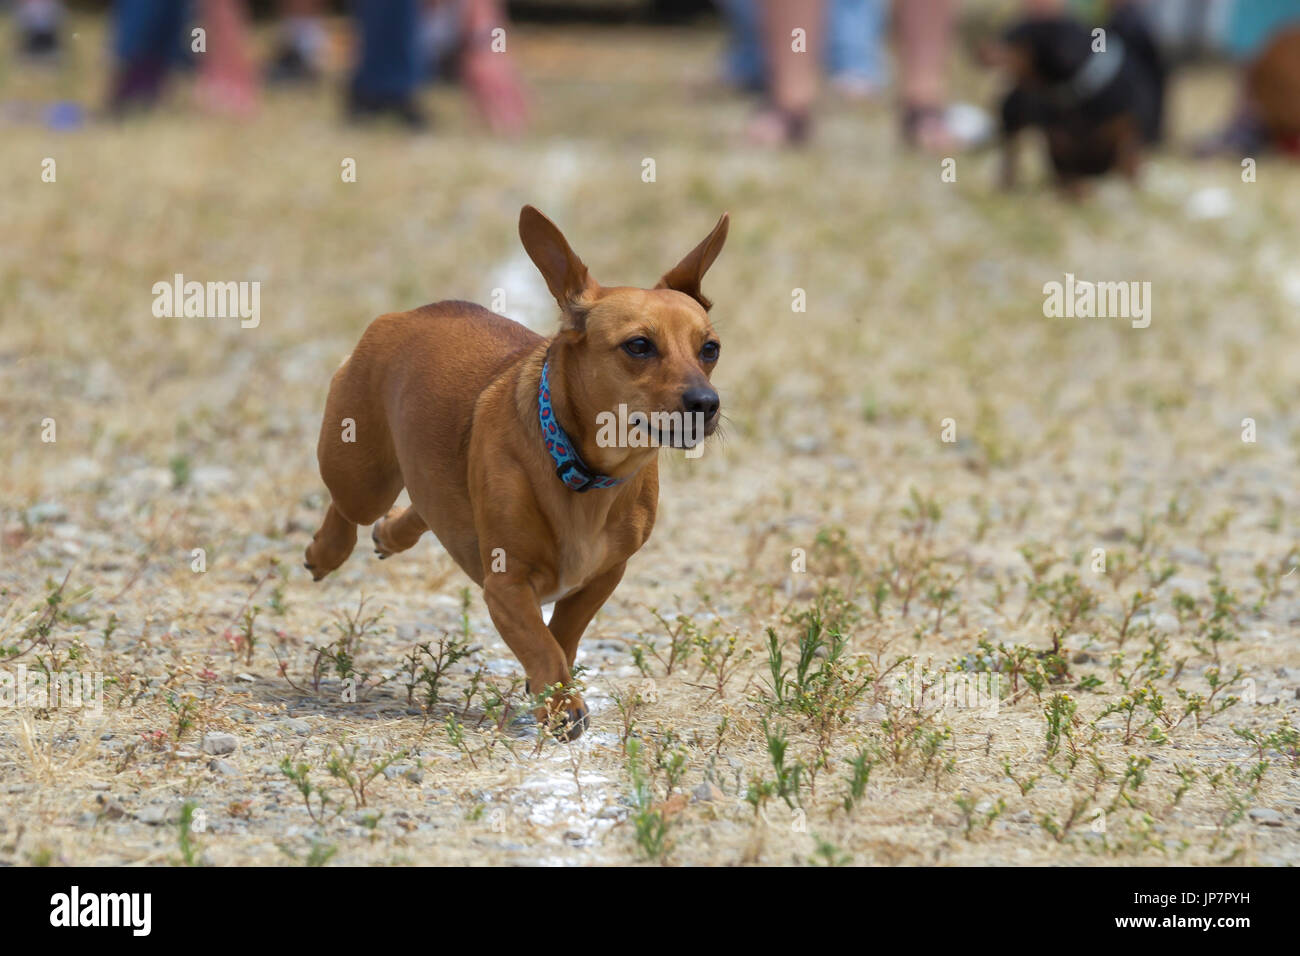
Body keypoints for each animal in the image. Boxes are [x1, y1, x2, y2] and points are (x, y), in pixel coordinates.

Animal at [305, 205, 733, 738]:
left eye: (710, 349)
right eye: (638, 346)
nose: (706, 403)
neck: (584, 473)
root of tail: (407, 315)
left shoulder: (603, 576)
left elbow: (562, 635)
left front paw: (551, 691)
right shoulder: (506, 586)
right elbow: (542, 644)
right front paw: (562, 703)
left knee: (425, 504)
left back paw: (393, 532)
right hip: (361, 474)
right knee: (347, 508)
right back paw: (325, 551)